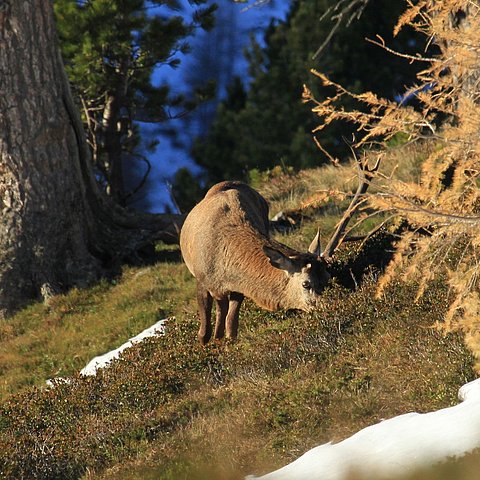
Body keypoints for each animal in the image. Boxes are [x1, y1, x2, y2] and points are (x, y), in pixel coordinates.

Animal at [178, 153, 376, 342]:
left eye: (328, 278)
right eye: (306, 284)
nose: (330, 306)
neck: (223, 266)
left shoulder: (238, 289)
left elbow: (230, 328)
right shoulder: (202, 280)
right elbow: (204, 334)